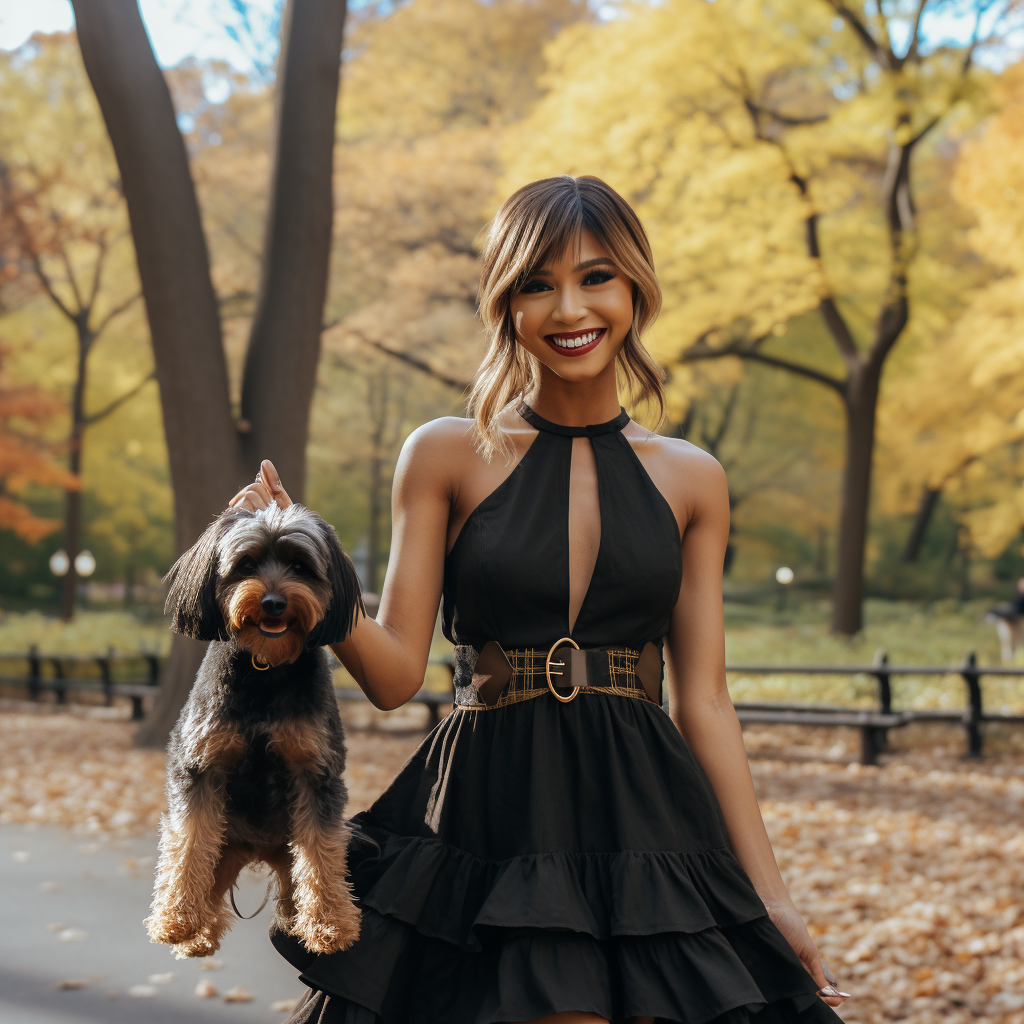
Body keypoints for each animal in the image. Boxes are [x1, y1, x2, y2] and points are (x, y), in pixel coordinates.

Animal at [143, 503, 368, 958]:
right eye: (246, 564)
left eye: (300, 566)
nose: (274, 603)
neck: (265, 668)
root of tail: (258, 851)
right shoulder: (199, 766)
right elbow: (188, 841)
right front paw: (175, 917)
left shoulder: (316, 773)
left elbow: (321, 852)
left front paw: (331, 923)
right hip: (225, 844)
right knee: (207, 872)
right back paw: (196, 933)